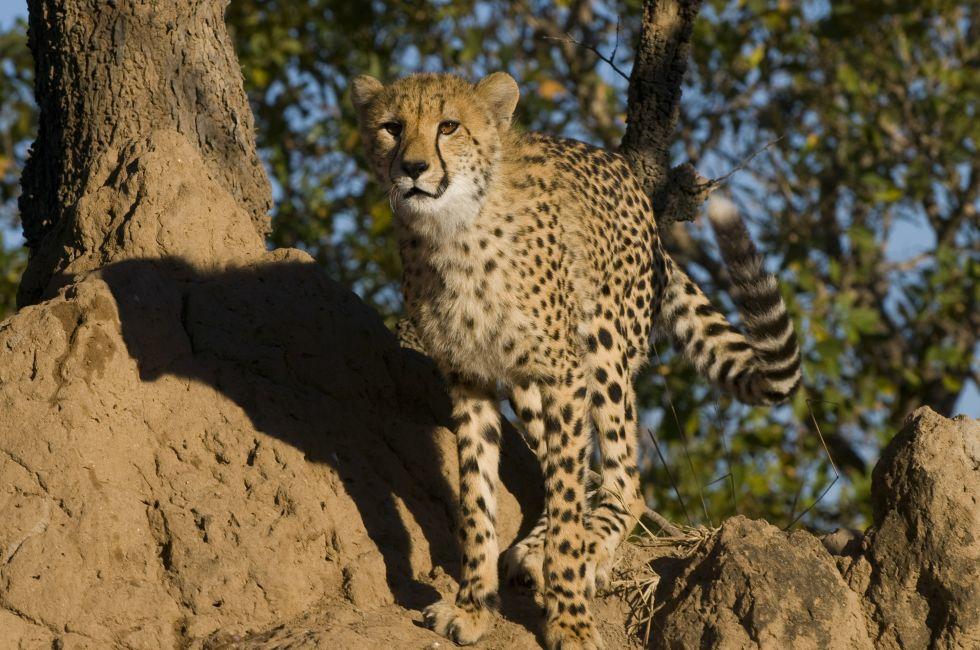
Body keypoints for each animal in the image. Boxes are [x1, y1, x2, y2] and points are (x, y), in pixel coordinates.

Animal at [351, 71, 801, 649]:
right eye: (392, 127)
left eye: (448, 126)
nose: (411, 168)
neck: (452, 230)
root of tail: (628, 178)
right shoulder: (469, 377)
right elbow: (477, 498)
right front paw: (473, 606)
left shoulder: (563, 372)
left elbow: (567, 498)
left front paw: (569, 618)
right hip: (528, 383)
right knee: (573, 470)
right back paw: (534, 549)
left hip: (603, 347)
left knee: (622, 481)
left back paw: (591, 547)